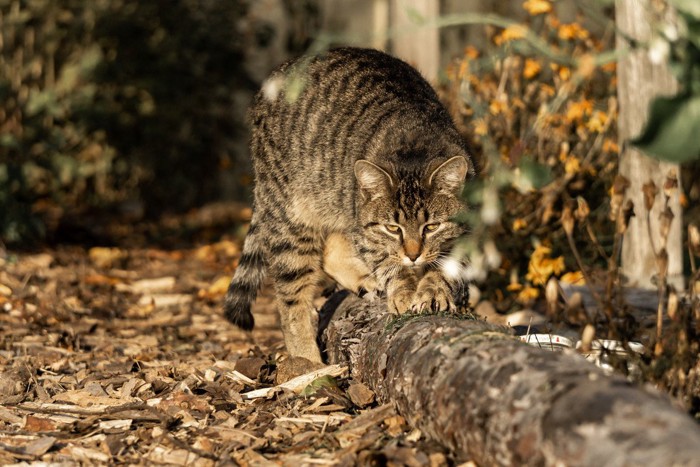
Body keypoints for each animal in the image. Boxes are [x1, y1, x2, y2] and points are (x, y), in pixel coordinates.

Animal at [224, 46, 476, 362]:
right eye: (392, 228)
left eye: (431, 227)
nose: (413, 255)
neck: (414, 144)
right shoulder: (367, 233)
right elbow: (387, 263)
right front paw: (404, 290)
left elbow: (446, 269)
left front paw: (432, 291)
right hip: (292, 217)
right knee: (291, 299)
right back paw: (307, 362)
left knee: (330, 251)